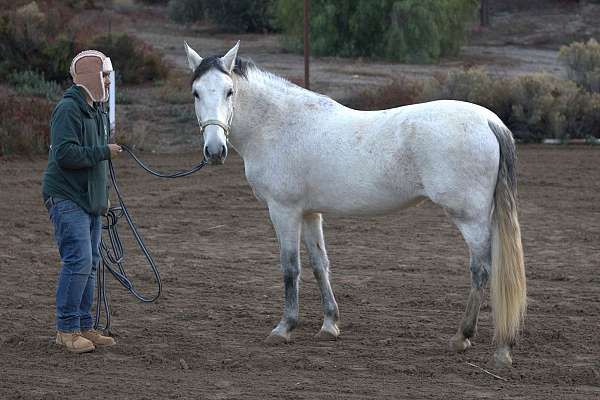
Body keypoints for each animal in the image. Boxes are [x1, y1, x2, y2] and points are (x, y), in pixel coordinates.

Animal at [184, 42, 524, 368]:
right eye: (196, 92)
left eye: (229, 91)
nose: (215, 151)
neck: (278, 125)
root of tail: (489, 121)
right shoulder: (309, 213)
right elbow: (320, 264)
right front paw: (329, 324)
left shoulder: (284, 210)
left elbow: (290, 268)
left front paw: (284, 328)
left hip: (470, 218)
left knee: (481, 270)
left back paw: (467, 338)